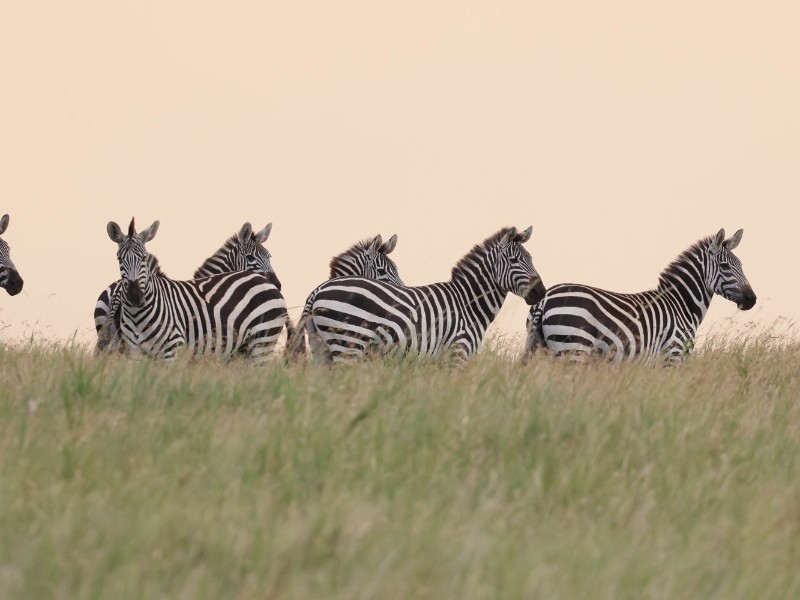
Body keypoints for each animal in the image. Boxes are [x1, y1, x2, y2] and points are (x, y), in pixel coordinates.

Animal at [301, 226, 546, 364]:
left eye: (531, 258)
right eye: (514, 260)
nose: (541, 292)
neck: (467, 303)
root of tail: (318, 290)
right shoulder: (457, 353)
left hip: (321, 349)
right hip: (348, 344)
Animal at [526, 228, 757, 364]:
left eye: (741, 265)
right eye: (725, 266)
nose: (752, 299)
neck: (681, 305)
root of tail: (544, 299)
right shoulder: (673, 356)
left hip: (545, 349)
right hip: (574, 350)